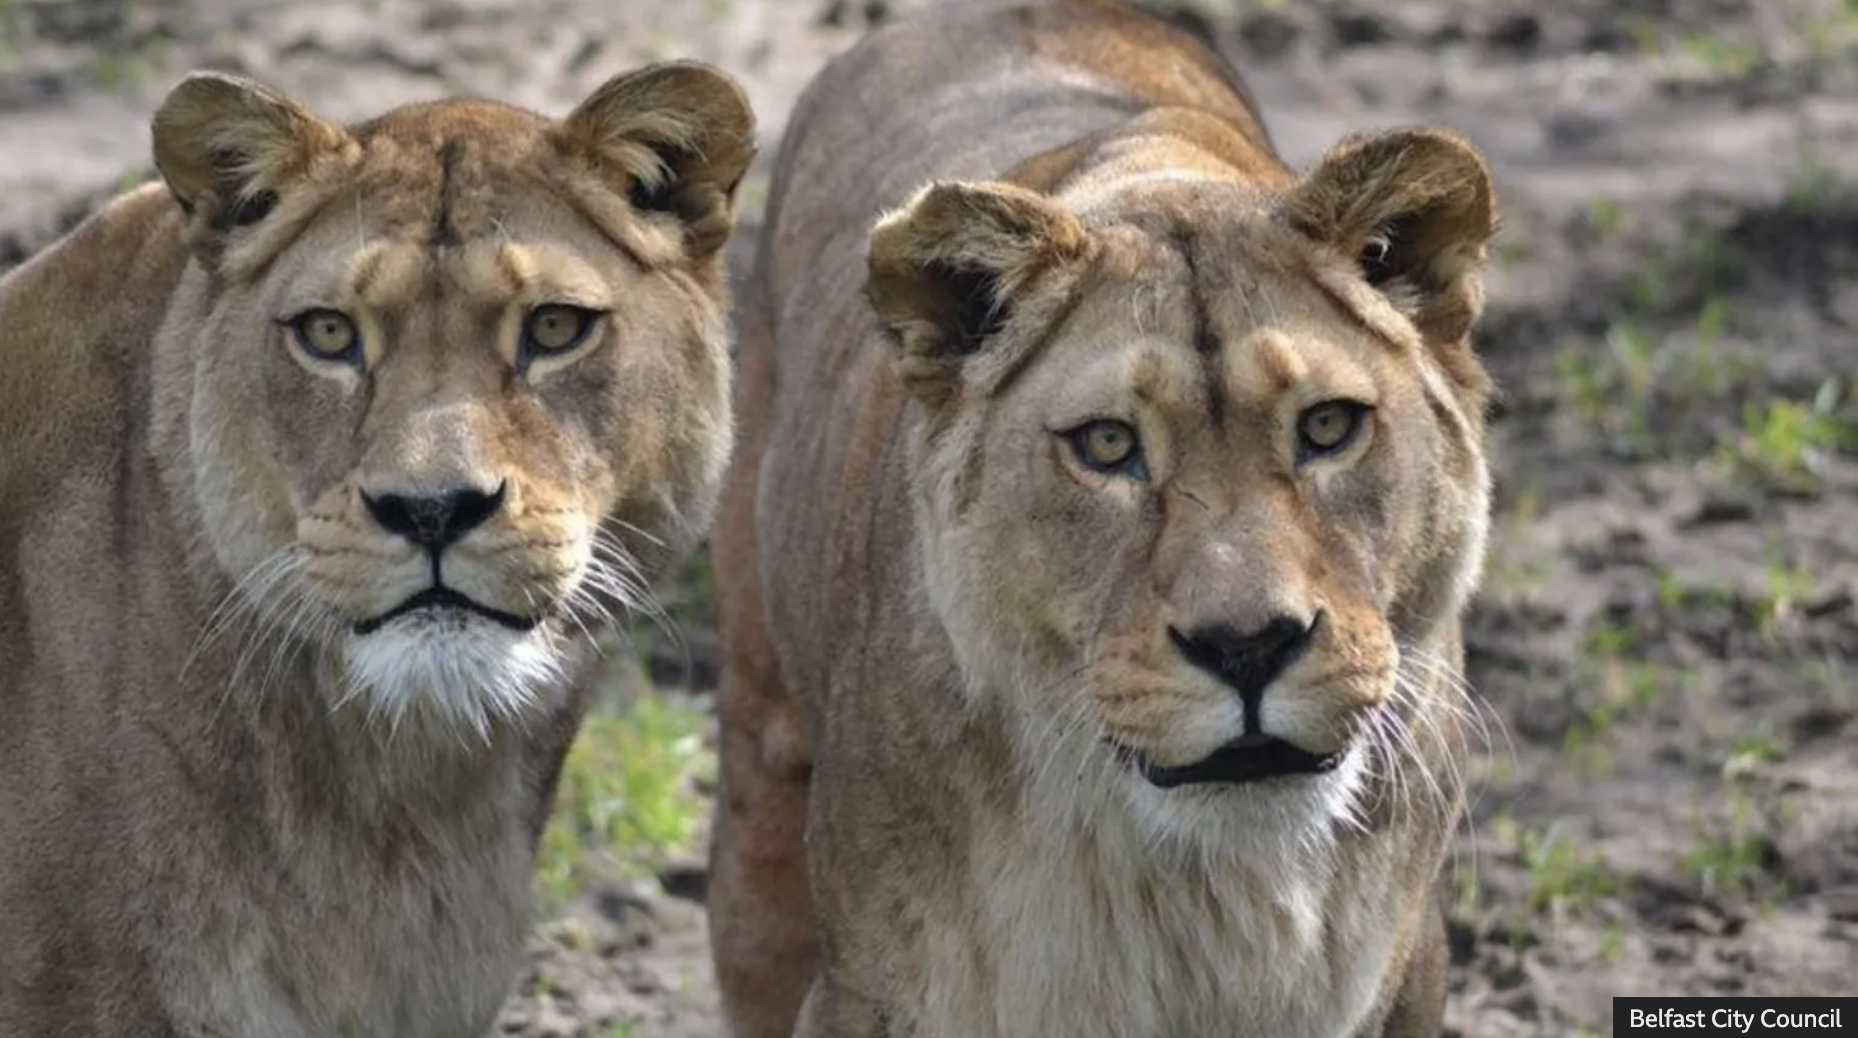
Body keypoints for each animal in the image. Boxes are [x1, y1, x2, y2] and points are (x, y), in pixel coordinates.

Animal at [708, 2, 1498, 1036]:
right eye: (1109, 445)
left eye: (1327, 427)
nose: (1248, 646)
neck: (1203, 892)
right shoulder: (865, 992)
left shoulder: (1407, 974)